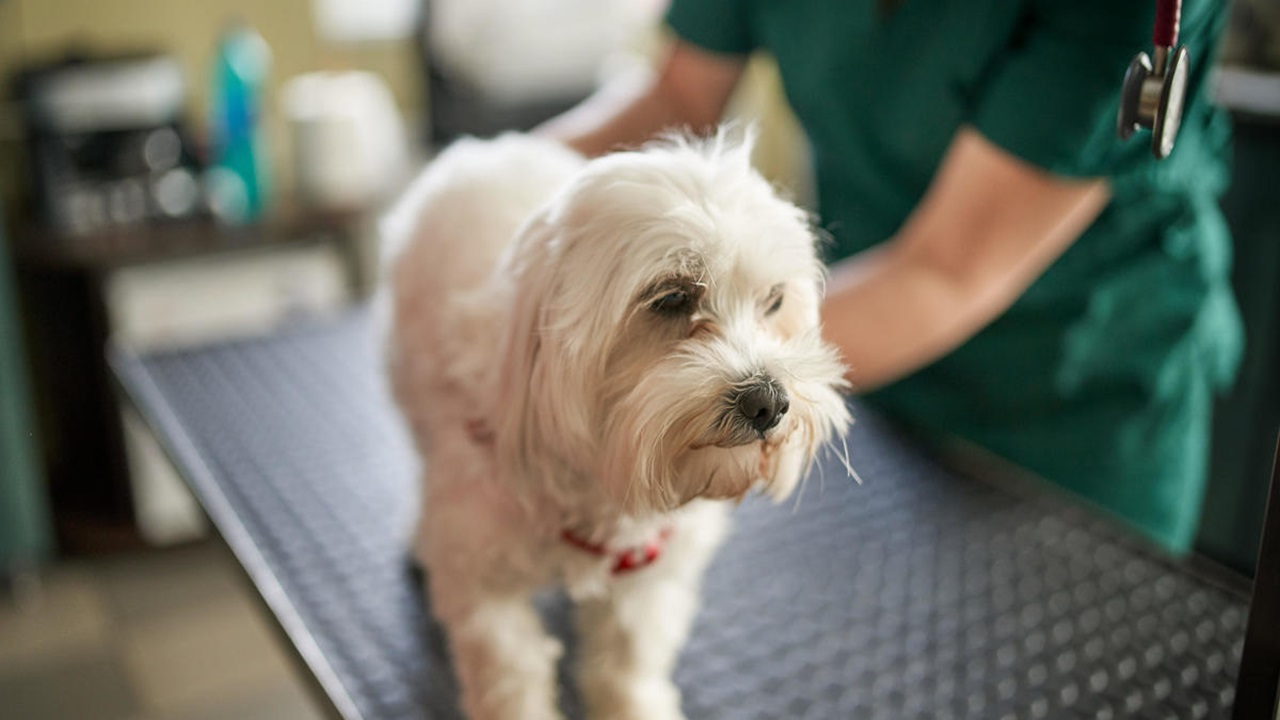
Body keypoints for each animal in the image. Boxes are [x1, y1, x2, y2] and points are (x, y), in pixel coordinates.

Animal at [384, 130, 855, 717]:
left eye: (773, 300)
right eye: (672, 296)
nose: (768, 402)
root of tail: (486, 145)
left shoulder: (650, 574)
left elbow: (627, 660)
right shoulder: (480, 580)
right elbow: (510, 671)